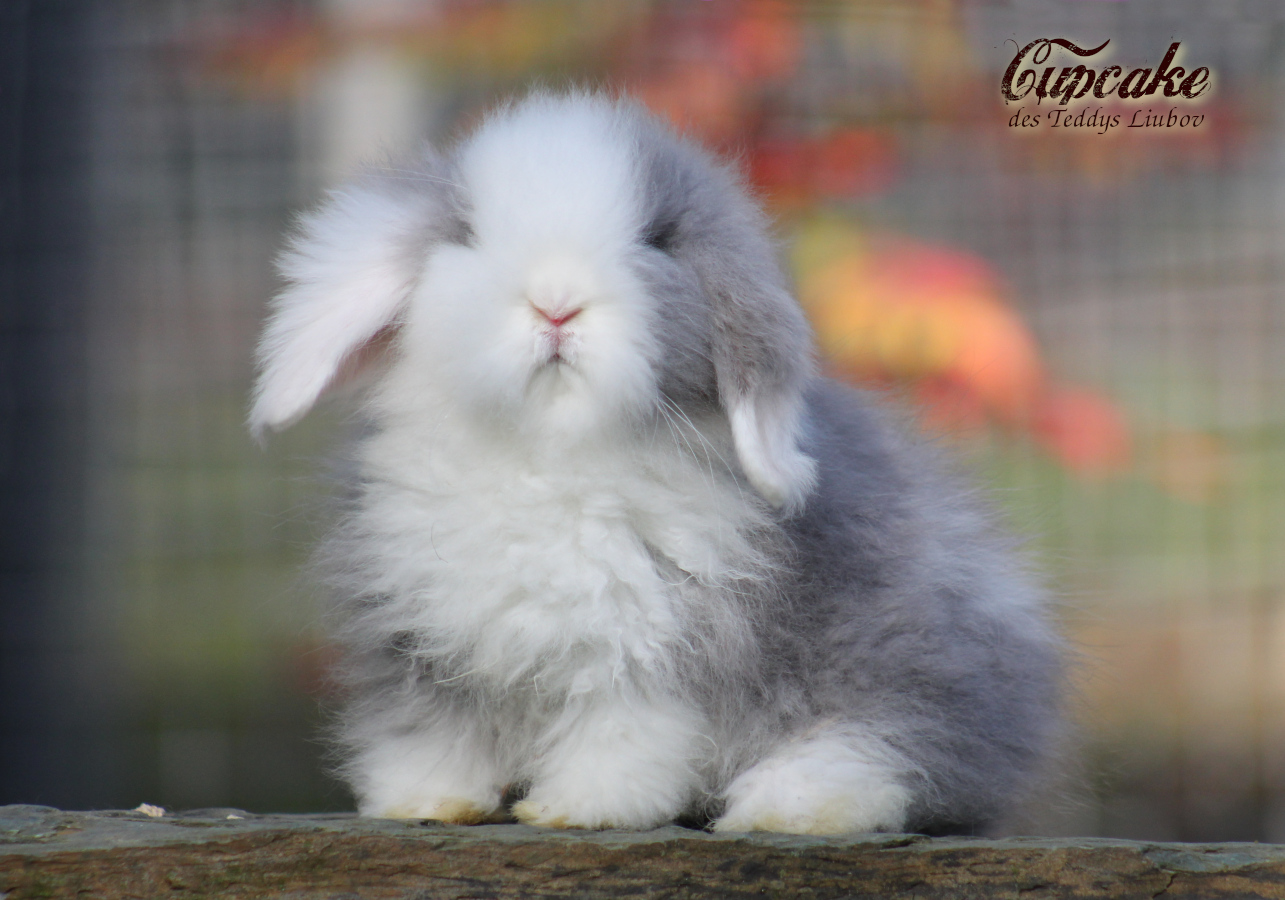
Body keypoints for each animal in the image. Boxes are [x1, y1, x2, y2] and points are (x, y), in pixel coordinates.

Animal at [249, 91, 1062, 836]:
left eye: (659, 240)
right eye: (466, 233)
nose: (555, 303)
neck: (546, 455)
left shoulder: (651, 653)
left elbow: (623, 733)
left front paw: (579, 810)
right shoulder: (418, 641)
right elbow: (432, 730)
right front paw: (426, 802)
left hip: (914, 664)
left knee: (899, 754)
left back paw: (788, 808)